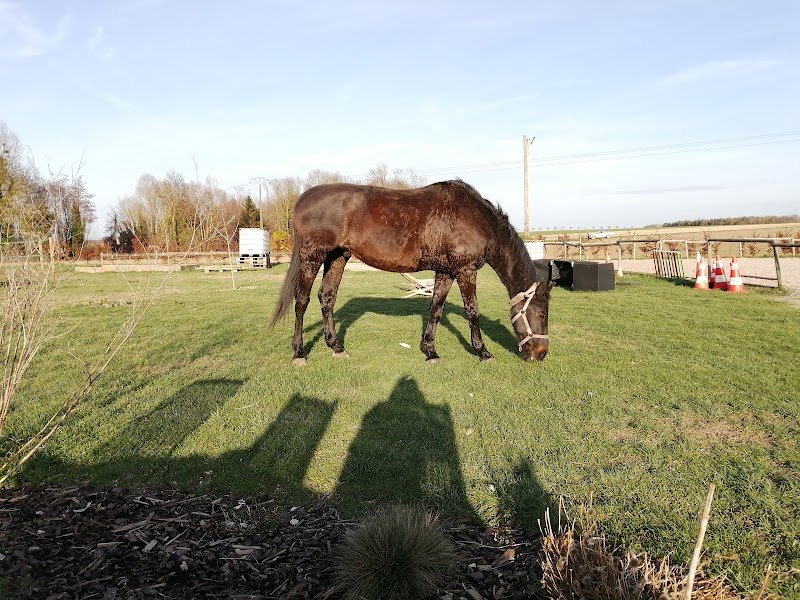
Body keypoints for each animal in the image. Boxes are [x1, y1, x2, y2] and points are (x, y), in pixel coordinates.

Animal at [270, 180, 554, 365]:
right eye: (542, 313)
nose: (541, 353)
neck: (477, 219)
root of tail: (302, 199)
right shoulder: (465, 271)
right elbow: (472, 311)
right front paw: (483, 352)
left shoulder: (445, 272)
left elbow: (436, 309)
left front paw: (430, 351)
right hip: (312, 257)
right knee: (301, 301)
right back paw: (299, 353)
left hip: (337, 257)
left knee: (327, 298)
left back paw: (336, 347)